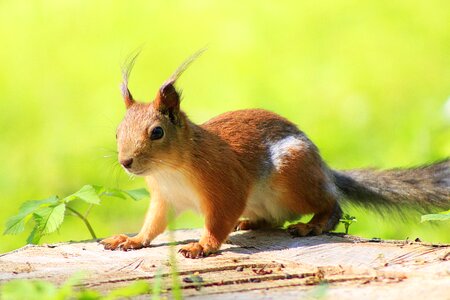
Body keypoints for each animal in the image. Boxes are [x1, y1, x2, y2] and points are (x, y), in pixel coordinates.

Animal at [100, 51, 448, 258]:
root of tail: (324, 170)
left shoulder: (224, 184)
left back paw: (313, 225)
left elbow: (218, 221)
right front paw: (131, 240)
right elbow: (153, 225)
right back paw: (250, 222)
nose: (126, 162)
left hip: (292, 175)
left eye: (157, 132)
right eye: (117, 131)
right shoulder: (164, 198)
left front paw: (203, 245)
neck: (170, 170)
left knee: (332, 204)